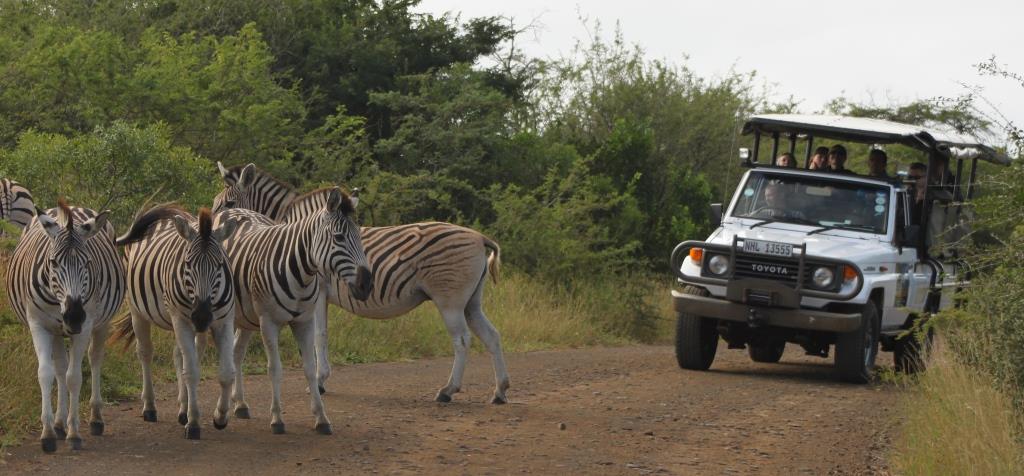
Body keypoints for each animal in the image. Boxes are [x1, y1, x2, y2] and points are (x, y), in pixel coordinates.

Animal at [4, 197, 124, 452]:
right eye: (53, 262)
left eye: (87, 263)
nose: (74, 316)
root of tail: (76, 207)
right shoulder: (38, 324)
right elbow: (46, 373)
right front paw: (48, 433)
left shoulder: (85, 326)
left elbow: (74, 377)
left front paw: (74, 433)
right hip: (56, 330)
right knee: (59, 366)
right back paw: (59, 424)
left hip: (101, 323)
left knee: (94, 359)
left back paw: (95, 419)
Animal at [111, 205, 238, 440]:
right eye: (187, 264)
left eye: (220, 265)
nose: (202, 316)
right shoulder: (182, 320)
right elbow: (192, 372)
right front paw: (194, 423)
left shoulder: (224, 321)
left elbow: (226, 373)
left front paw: (220, 417)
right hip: (138, 310)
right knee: (145, 353)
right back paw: (150, 408)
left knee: (179, 356)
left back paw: (182, 409)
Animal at [210, 163, 507, 405]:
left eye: (228, 204)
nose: (210, 232)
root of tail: (479, 236)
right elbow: (320, 335)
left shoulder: (317, 293)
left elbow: (319, 335)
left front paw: (319, 381)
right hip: (471, 302)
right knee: (492, 335)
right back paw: (500, 391)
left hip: (450, 300)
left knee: (462, 340)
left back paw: (448, 390)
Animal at [216, 186, 372, 434]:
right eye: (339, 238)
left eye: (359, 236)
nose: (367, 285)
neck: (300, 272)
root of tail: (233, 211)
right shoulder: (268, 322)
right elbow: (275, 369)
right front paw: (277, 418)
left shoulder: (305, 321)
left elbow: (309, 368)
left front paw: (321, 418)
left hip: (246, 316)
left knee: (237, 352)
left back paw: (240, 404)